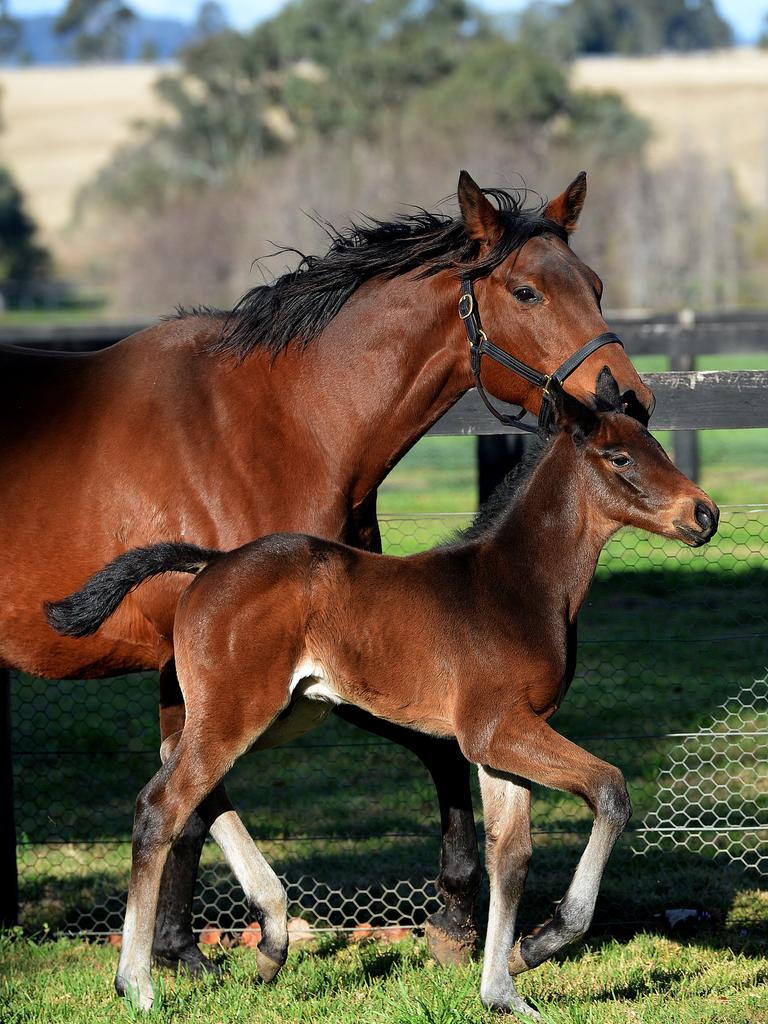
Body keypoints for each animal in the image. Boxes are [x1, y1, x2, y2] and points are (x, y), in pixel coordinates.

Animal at [0, 167, 651, 966]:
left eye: (594, 284)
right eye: (527, 292)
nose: (630, 399)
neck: (280, 427)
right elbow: (192, 796)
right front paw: (188, 950)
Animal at [49, 368, 720, 1015]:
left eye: (657, 446)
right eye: (620, 457)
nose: (704, 515)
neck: (517, 583)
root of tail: (210, 564)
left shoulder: (502, 744)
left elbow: (511, 856)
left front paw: (502, 988)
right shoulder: (497, 728)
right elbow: (610, 790)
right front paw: (542, 943)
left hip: (280, 713)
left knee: (189, 779)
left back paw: (272, 938)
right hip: (238, 712)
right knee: (161, 804)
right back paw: (138, 983)